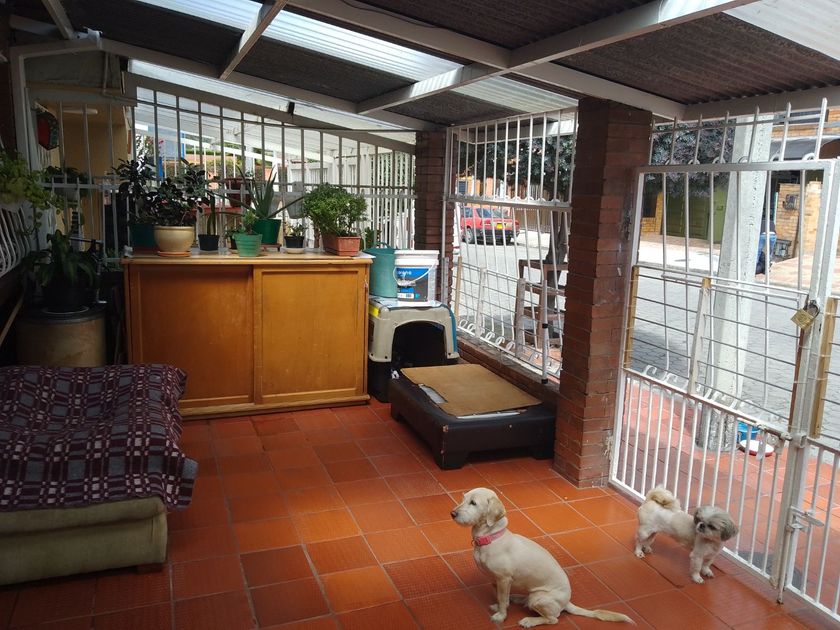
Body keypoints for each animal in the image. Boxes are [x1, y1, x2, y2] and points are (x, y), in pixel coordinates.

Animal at [451, 487, 633, 627]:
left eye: (473, 503)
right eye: (464, 498)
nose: (452, 513)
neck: (491, 537)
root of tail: (567, 602)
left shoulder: (504, 579)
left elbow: (503, 599)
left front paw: (501, 616)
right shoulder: (497, 580)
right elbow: (501, 597)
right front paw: (501, 606)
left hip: (539, 599)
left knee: (553, 619)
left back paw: (530, 621)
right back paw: (518, 598)